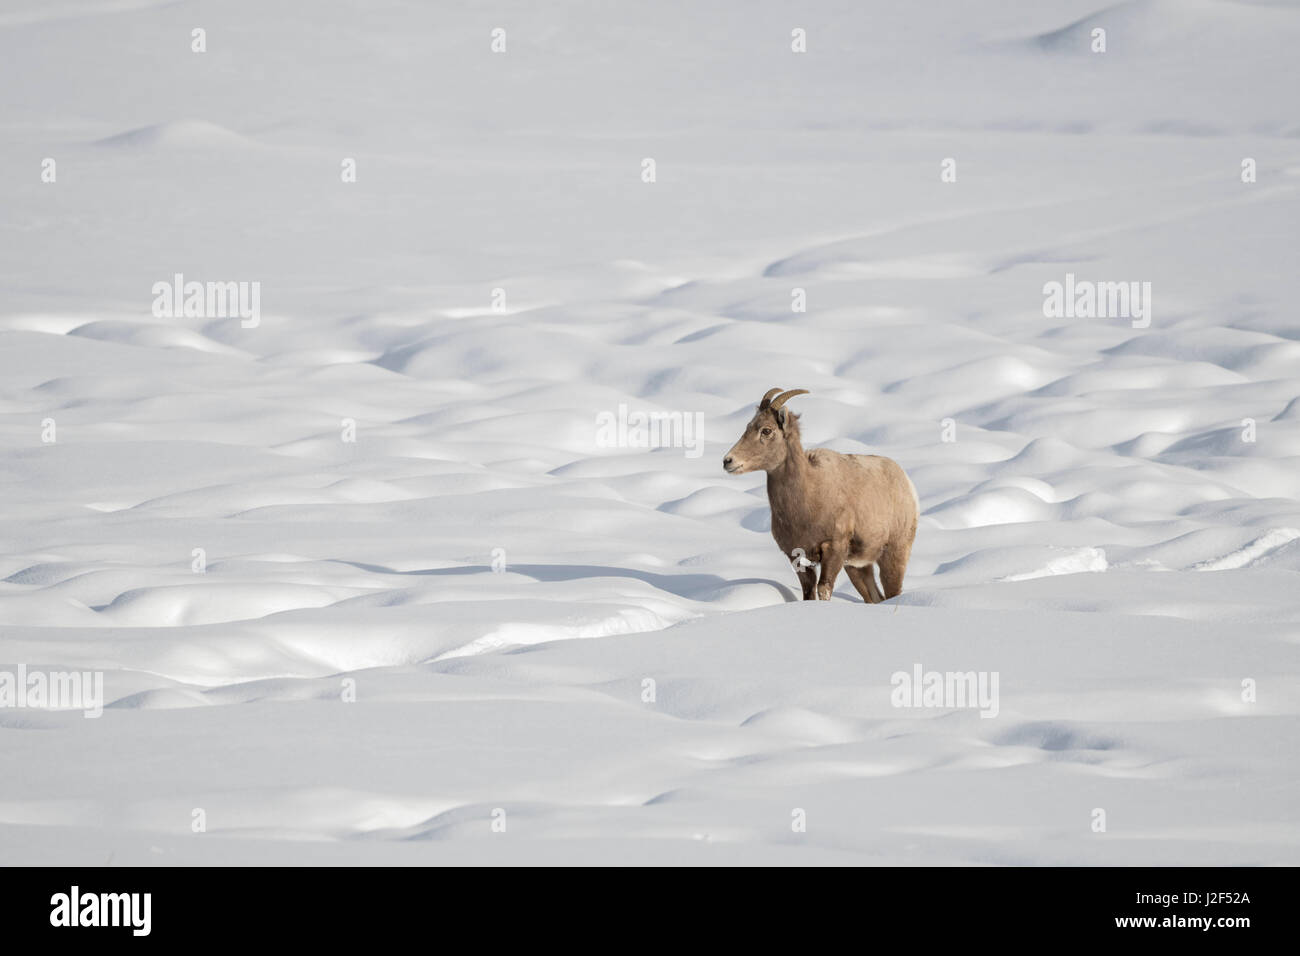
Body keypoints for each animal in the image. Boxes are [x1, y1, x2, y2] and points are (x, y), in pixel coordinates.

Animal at [717, 387, 920, 598]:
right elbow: (809, 592)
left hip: (893, 555)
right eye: (748, 426)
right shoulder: (797, 556)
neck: (808, 501)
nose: (728, 461)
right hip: (857, 567)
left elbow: (824, 589)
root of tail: (907, 483)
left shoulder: (833, 549)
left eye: (766, 430)